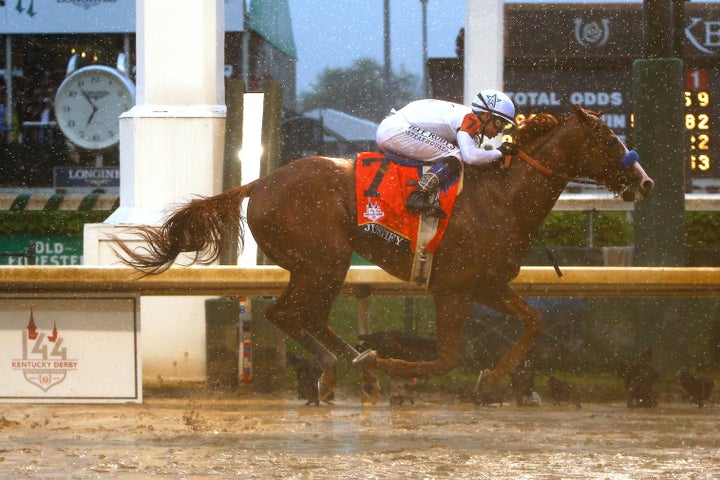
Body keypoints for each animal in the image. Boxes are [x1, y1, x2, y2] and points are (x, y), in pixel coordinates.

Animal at [111, 107, 652, 404]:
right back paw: (344, 366)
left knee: (297, 314)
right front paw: (394, 366)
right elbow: (445, 357)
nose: (644, 181)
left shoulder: (487, 284)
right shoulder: (453, 289)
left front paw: (491, 376)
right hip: (325, 261)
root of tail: (259, 184)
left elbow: (535, 321)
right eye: (609, 139)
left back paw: (357, 363)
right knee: (289, 314)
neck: (503, 196)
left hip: (314, 265)